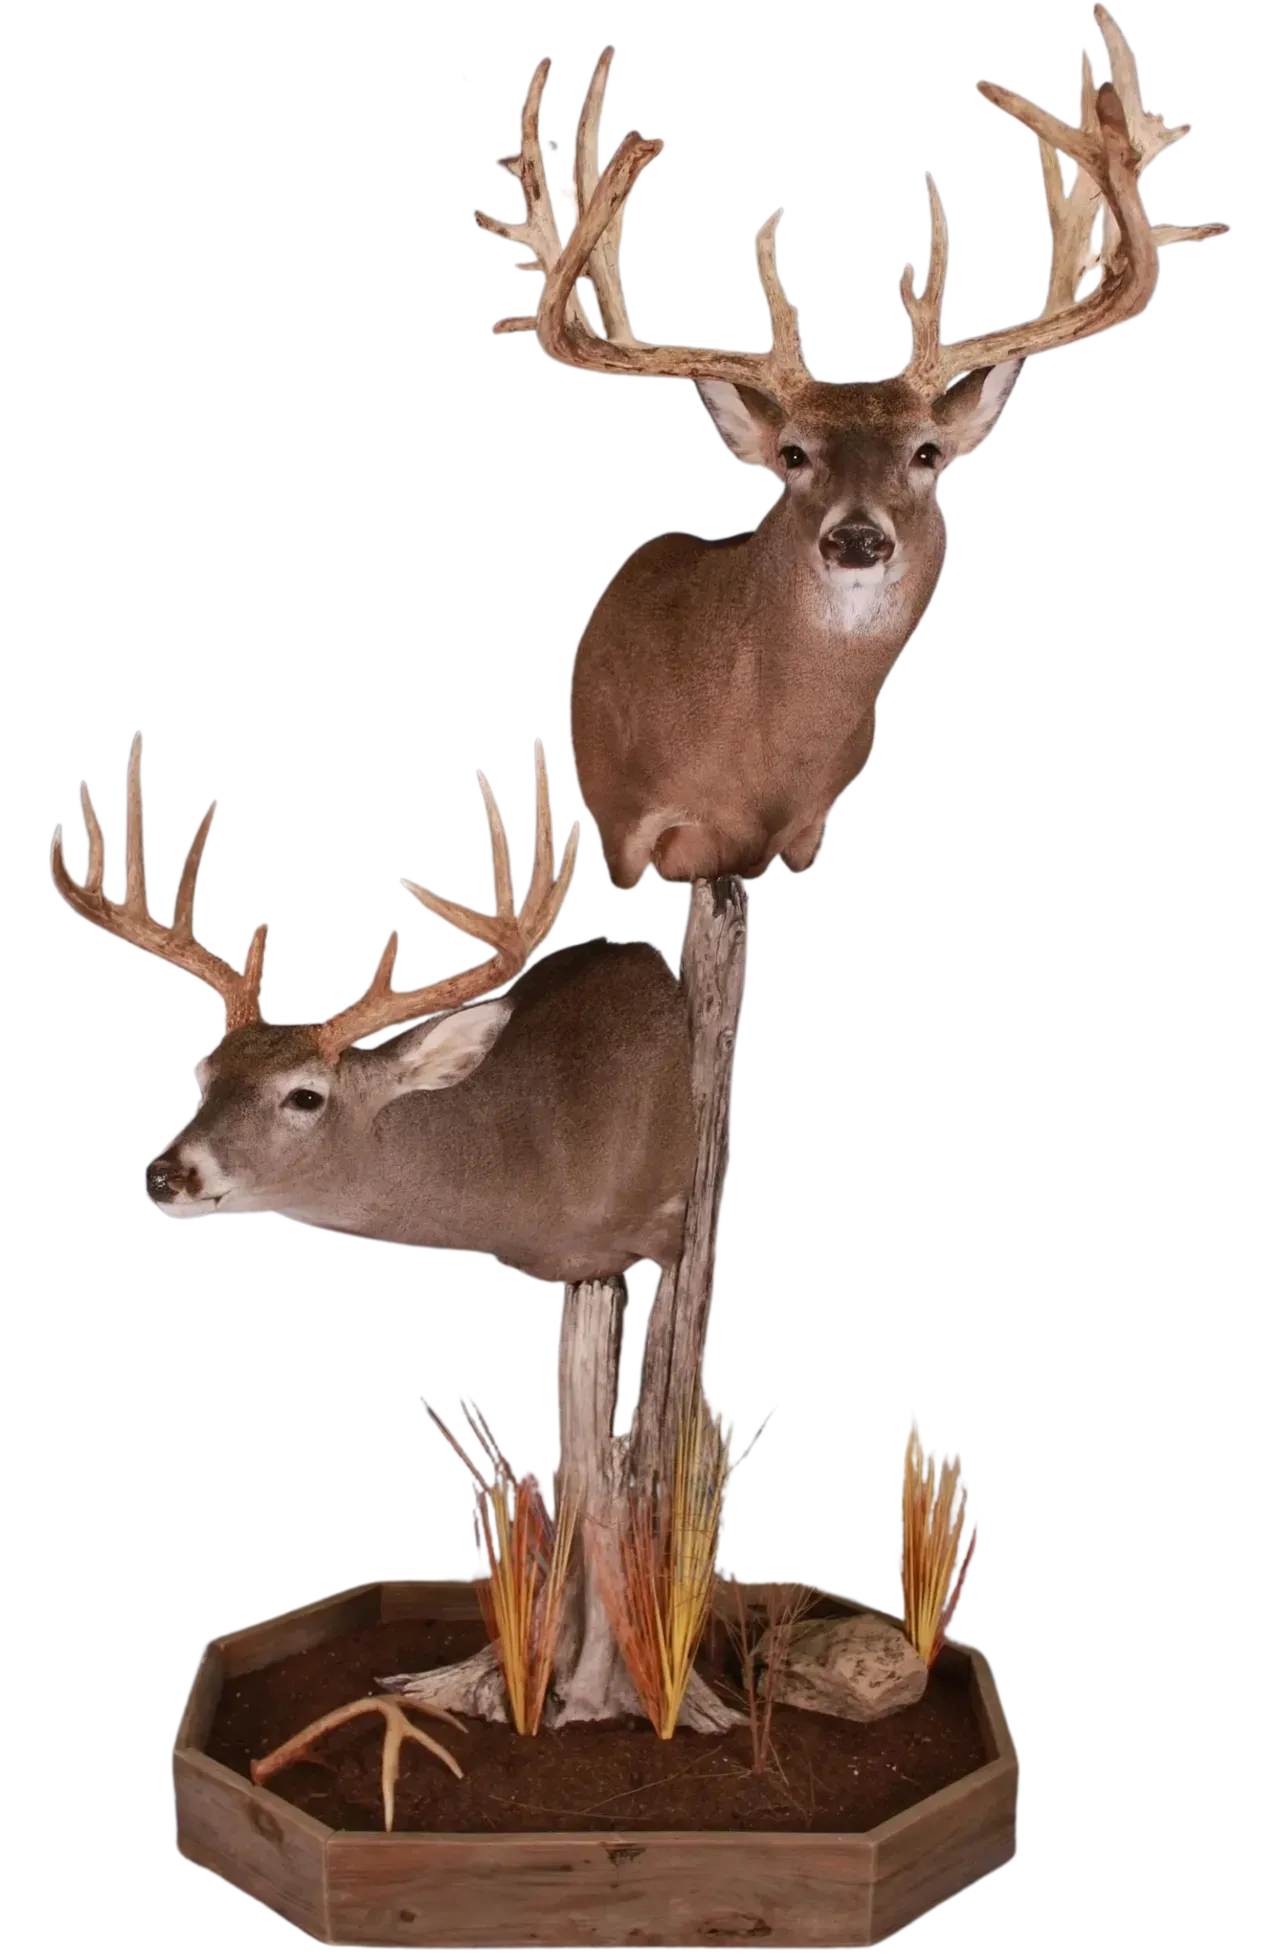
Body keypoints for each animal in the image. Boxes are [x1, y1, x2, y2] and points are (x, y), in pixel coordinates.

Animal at [476, 8, 1227, 889]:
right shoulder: (627, 822)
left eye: (927, 452)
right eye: (794, 454)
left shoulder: (811, 828)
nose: (858, 537)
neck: (761, 769)